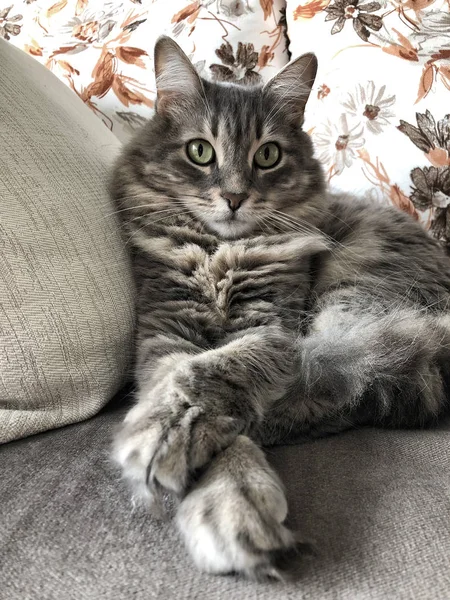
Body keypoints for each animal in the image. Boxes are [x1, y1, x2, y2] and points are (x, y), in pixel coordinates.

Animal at [110, 36, 450, 576]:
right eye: (199, 151)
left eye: (267, 155)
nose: (233, 197)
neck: (221, 253)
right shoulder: (166, 329)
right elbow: (177, 380)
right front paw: (223, 490)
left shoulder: (272, 325)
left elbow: (205, 375)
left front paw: (178, 449)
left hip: (354, 289)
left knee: (342, 387)